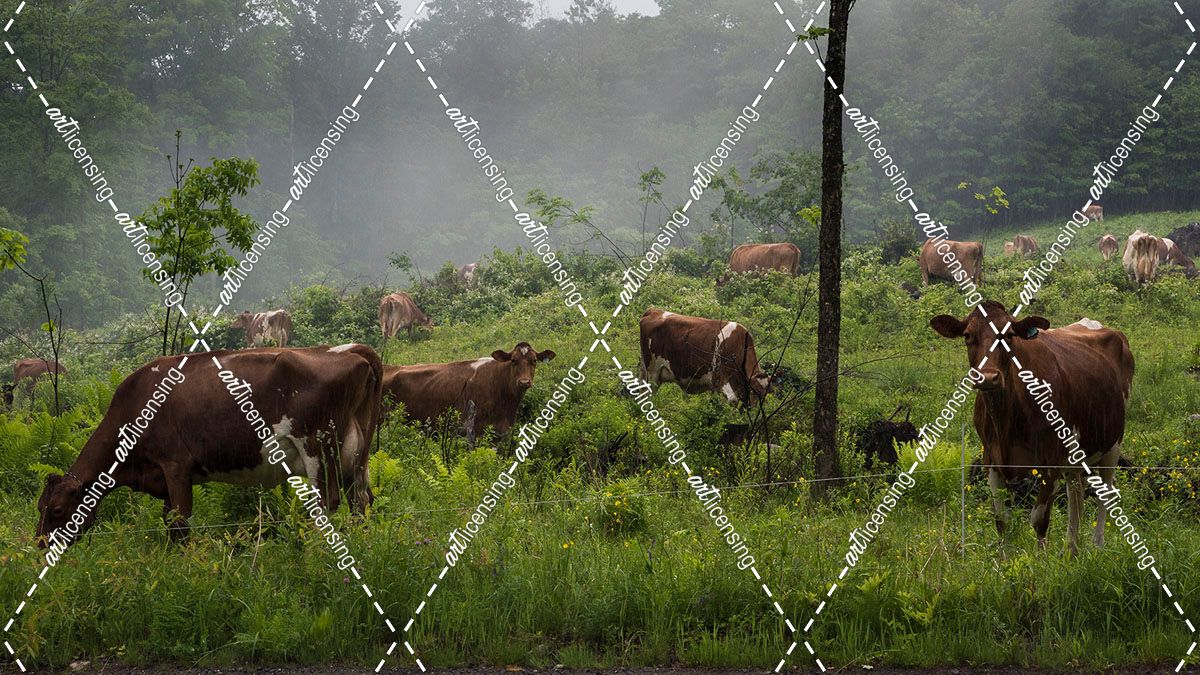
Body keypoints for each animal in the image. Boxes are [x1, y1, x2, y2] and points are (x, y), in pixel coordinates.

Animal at [35, 345, 382, 546]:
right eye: (40, 507)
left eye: (57, 510)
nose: (39, 546)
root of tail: (352, 353)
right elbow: (169, 519)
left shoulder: (175, 464)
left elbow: (179, 521)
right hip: (356, 456)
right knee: (360, 499)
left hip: (318, 447)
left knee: (326, 503)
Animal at [638, 308, 776, 407]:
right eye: (754, 390)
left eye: (764, 394)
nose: (754, 409)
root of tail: (653, 311)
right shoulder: (720, 378)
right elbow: (731, 401)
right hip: (653, 373)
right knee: (649, 393)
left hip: (645, 370)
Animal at [930, 301, 1133, 555]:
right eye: (968, 335)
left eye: (1008, 335)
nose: (988, 377)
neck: (1006, 423)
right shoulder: (991, 460)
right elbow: (1002, 519)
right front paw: (1004, 561)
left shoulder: (1051, 461)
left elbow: (1039, 519)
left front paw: (1041, 560)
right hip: (1076, 454)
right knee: (1076, 494)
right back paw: (1071, 549)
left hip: (1112, 444)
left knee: (1105, 494)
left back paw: (1097, 546)